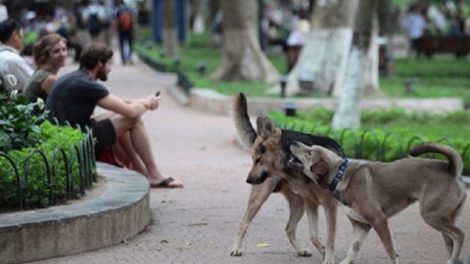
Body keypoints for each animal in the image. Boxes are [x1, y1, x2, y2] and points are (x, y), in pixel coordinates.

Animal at [231, 93, 346, 264]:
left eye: (257, 160)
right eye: (252, 159)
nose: (248, 180)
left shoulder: (327, 205)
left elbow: (326, 237)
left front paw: (327, 255)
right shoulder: (313, 204)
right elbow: (315, 236)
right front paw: (326, 254)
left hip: (299, 204)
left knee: (289, 228)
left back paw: (300, 250)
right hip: (260, 199)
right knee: (243, 222)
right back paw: (236, 248)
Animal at [286, 141, 466, 262]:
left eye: (310, 152)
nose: (294, 141)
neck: (341, 174)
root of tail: (451, 169)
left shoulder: (379, 220)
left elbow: (390, 250)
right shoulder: (362, 225)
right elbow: (353, 249)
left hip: (432, 216)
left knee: (459, 235)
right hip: (442, 220)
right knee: (451, 241)